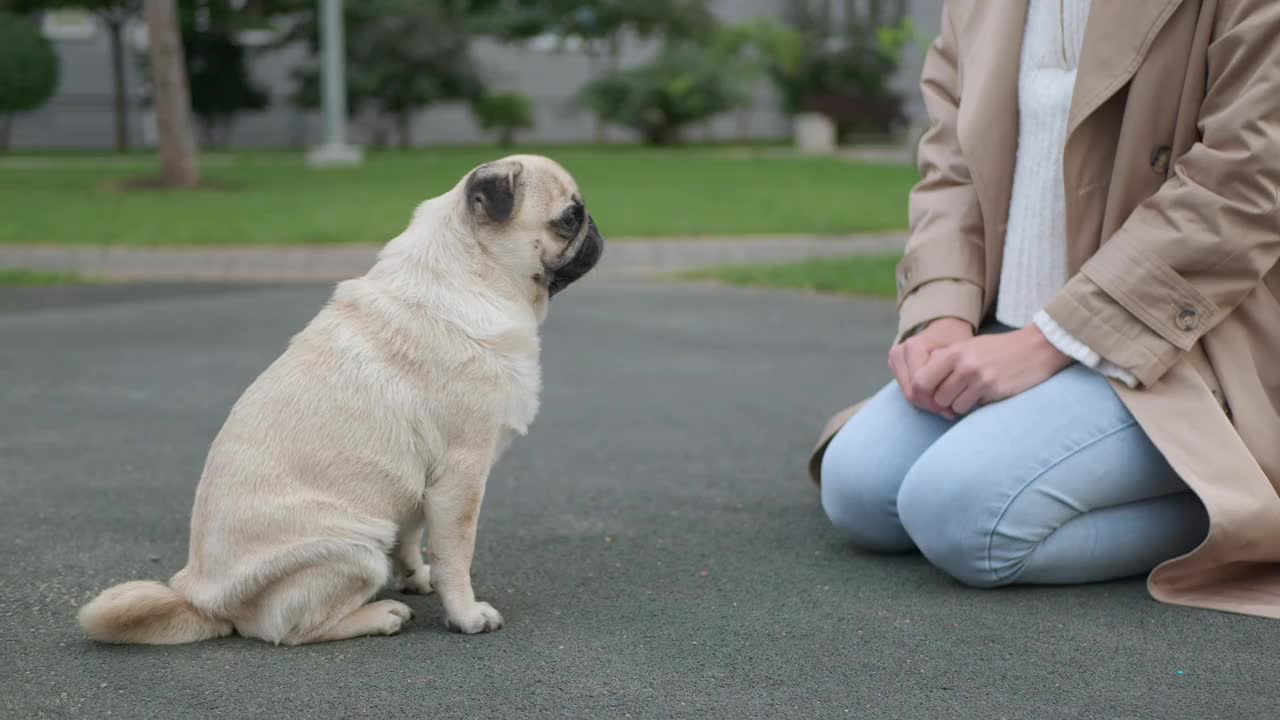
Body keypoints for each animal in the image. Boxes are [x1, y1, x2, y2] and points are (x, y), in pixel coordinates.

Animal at [78, 154, 604, 640]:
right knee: (291, 629)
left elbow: (413, 537)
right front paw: (466, 614)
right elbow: (457, 553)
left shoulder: (418, 483)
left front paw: (417, 576)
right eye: (569, 218)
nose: (596, 228)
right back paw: (380, 615)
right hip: (357, 546)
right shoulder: (460, 475)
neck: (475, 275)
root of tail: (205, 601)